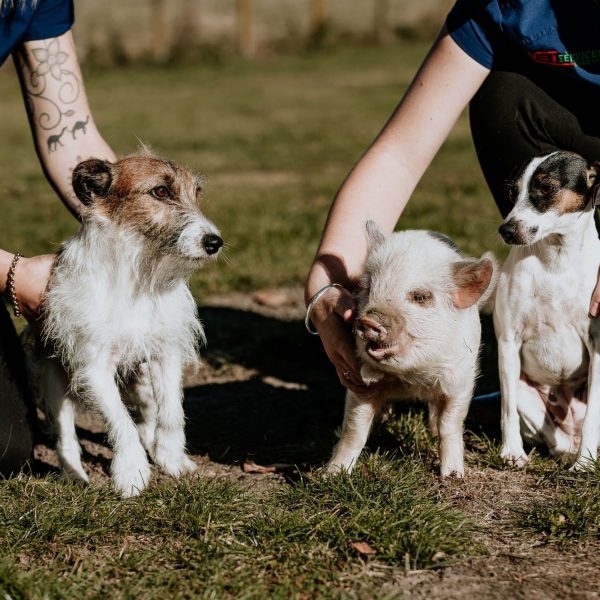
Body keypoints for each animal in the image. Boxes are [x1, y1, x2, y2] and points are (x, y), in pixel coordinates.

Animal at [27, 151, 221, 496]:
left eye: (197, 193)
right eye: (160, 191)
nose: (215, 242)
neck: (136, 272)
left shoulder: (165, 353)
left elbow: (172, 414)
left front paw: (172, 459)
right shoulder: (94, 368)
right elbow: (120, 422)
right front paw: (131, 473)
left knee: (148, 413)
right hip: (53, 380)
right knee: (66, 437)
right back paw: (75, 475)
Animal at [494, 151, 600, 468]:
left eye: (547, 187)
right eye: (512, 191)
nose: (506, 230)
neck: (557, 260)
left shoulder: (599, 345)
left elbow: (593, 418)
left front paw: (585, 463)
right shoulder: (508, 341)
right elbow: (507, 410)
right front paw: (511, 452)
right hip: (526, 394)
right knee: (554, 439)